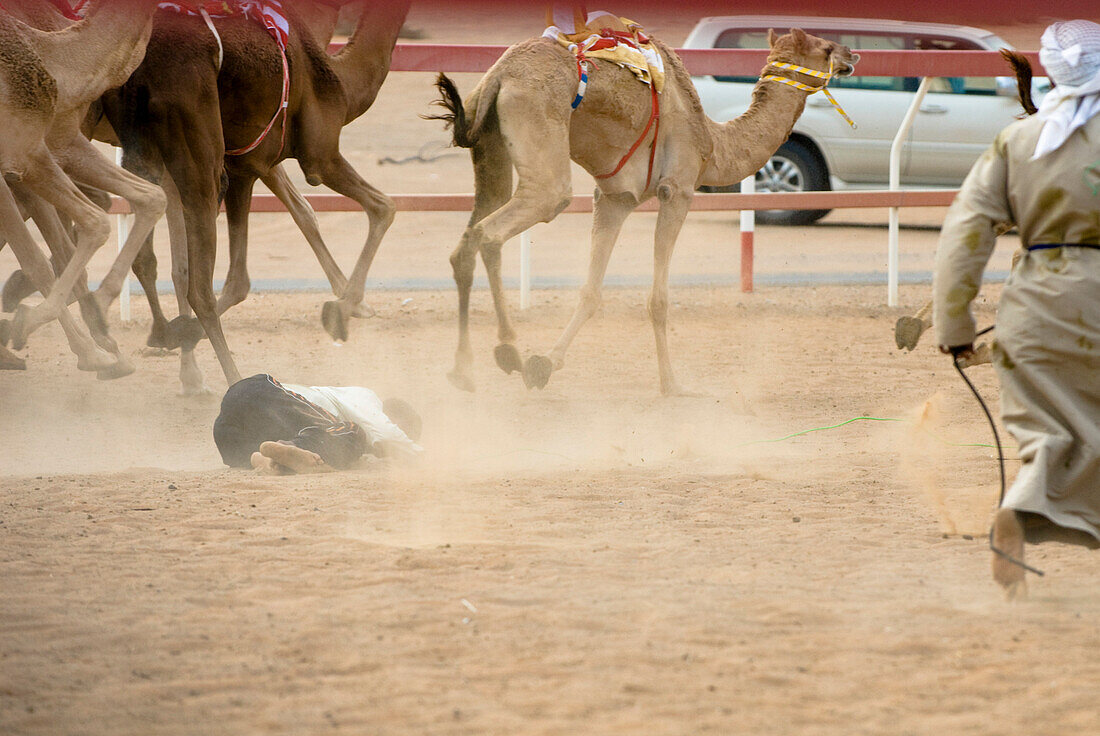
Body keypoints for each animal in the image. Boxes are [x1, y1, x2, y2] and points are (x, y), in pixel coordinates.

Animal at [0, 0, 165, 376]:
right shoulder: (25, 154)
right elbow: (44, 254)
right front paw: (93, 349)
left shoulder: (49, 146)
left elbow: (151, 197)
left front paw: (103, 336)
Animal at [97, 1, 409, 396]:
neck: (340, 79)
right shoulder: (311, 157)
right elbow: (383, 207)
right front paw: (342, 310)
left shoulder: (255, 163)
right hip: (197, 155)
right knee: (198, 285)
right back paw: (228, 378)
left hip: (143, 149)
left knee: (143, 235)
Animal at [429, 27, 858, 396]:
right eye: (825, 46)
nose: (853, 55)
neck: (712, 144)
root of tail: (499, 75)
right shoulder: (677, 190)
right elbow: (658, 300)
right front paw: (672, 385)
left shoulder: (616, 199)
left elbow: (591, 291)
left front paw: (546, 364)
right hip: (542, 158)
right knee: (498, 229)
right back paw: (508, 350)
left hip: (489, 146)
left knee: (465, 242)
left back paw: (463, 370)